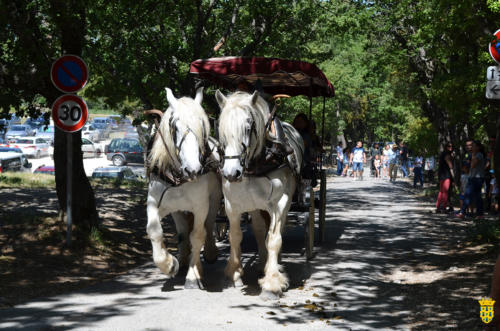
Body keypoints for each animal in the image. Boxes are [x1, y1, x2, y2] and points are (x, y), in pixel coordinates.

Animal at [146, 88, 222, 290]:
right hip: (177, 210)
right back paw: (182, 261)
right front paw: (169, 264)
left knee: (208, 226)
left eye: (202, 127)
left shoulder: (200, 206)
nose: (193, 169)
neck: (179, 177)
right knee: (182, 234)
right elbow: (154, 230)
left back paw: (209, 253)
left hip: (214, 200)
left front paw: (193, 275)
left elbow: (197, 235)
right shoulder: (155, 202)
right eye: (175, 127)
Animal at [216, 91, 304, 300]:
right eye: (221, 130)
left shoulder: (279, 204)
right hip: (256, 206)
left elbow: (273, 239)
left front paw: (272, 282)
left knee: (277, 232)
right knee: (258, 229)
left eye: (248, 128)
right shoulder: (232, 205)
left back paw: (275, 263)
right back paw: (262, 263)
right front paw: (233, 274)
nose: (231, 173)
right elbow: (235, 236)